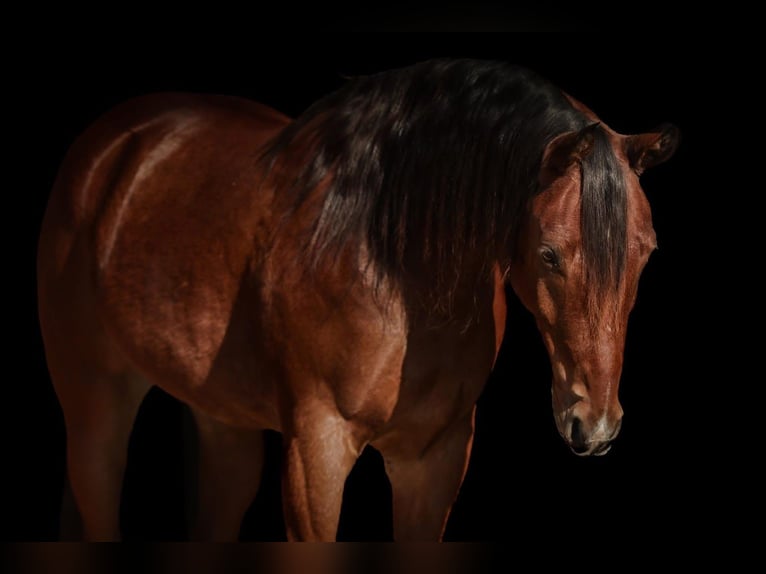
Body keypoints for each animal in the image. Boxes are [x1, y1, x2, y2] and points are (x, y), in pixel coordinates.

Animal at [36, 58, 679, 541]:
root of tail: (116, 148)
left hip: (222, 423)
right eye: (549, 254)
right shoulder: (315, 455)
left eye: (647, 252)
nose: (595, 425)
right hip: (97, 407)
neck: (397, 270)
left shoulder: (434, 461)